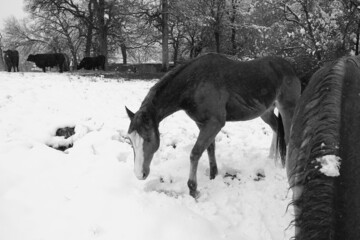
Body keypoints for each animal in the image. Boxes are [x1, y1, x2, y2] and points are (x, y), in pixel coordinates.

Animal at [126, 53, 300, 198]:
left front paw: (193, 189)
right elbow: (210, 148)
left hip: (288, 109)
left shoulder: (215, 123)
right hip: (266, 112)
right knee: (277, 128)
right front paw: (213, 174)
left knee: (288, 137)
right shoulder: (202, 123)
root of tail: (290, 66)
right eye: (130, 141)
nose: (139, 174)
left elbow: (195, 153)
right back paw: (273, 157)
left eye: (148, 138)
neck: (194, 83)